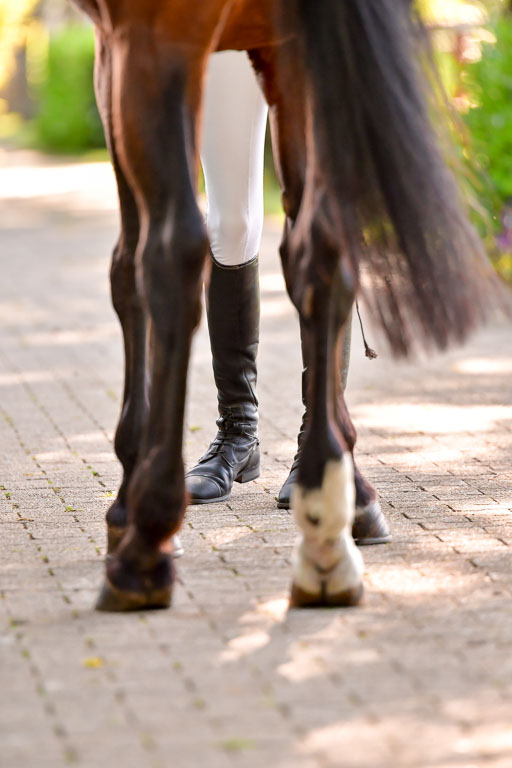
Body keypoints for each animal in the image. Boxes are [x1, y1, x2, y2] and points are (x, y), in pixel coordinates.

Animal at [70, 0, 504, 612]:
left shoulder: (118, 46)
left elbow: (126, 268)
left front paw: (126, 508)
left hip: (164, 47)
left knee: (171, 250)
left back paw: (144, 551)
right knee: (307, 246)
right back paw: (325, 522)